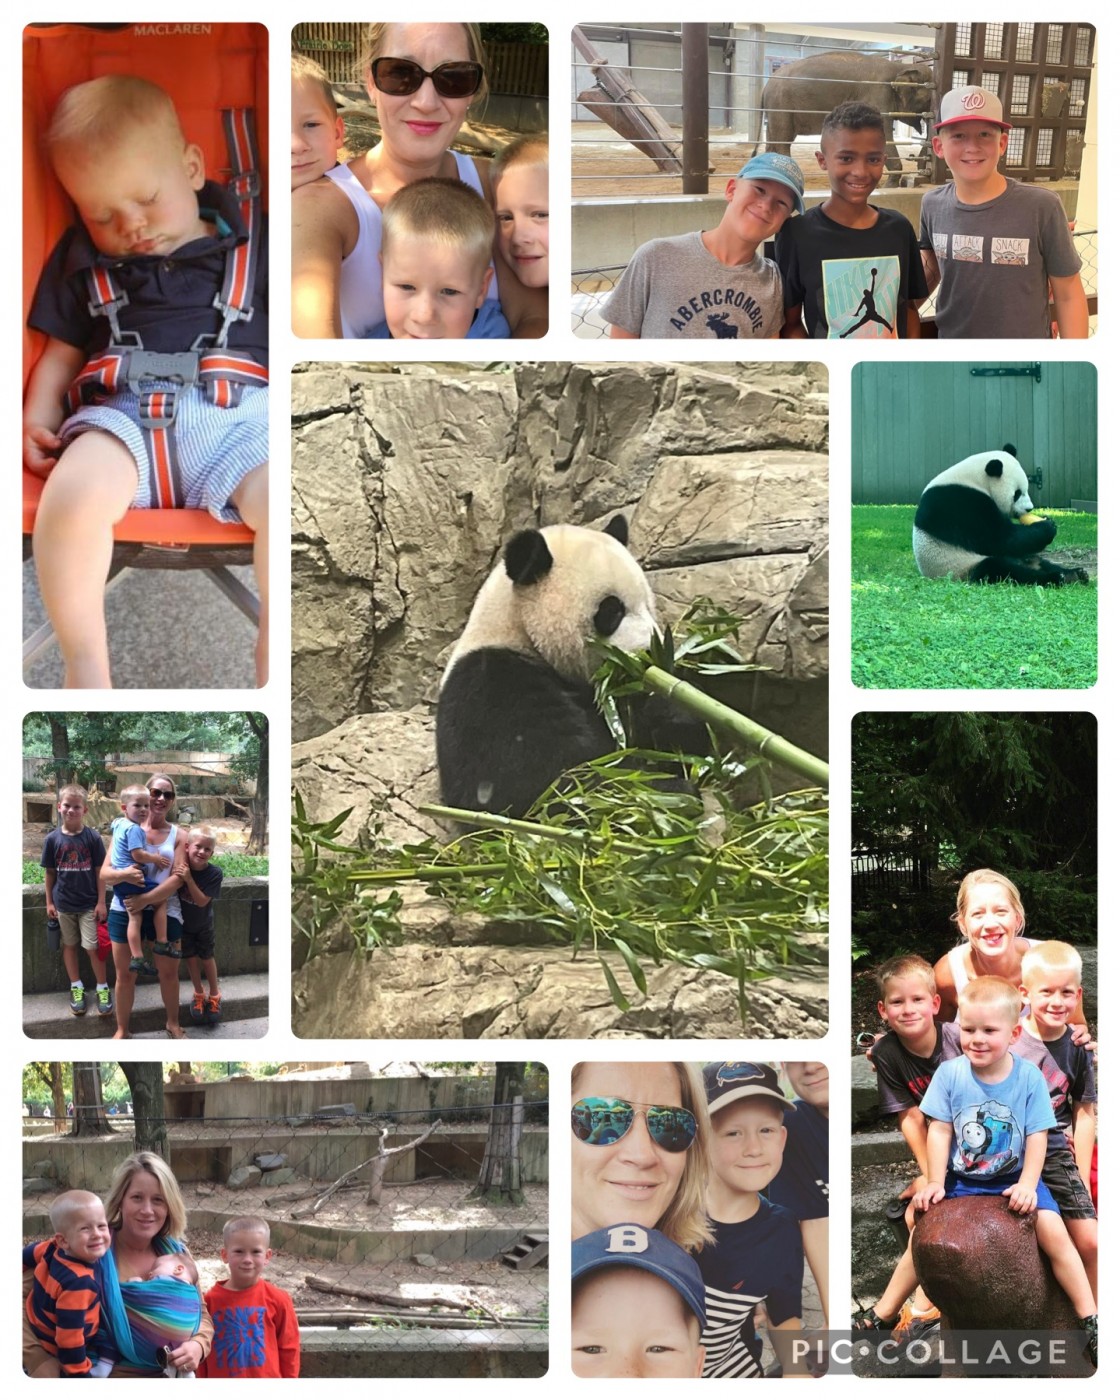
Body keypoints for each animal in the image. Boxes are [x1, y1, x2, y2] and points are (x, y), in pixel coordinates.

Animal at [434, 515, 705, 817]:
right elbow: (549, 783)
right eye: (613, 611)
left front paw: (673, 707)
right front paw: (672, 793)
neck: (519, 631)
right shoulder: (492, 685)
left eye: (648, 605)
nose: (648, 653)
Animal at [756, 53, 929, 172]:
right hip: (780, 105)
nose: (915, 159)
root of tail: (765, 87)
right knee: (783, 141)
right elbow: (884, 137)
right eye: (929, 101)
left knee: (773, 141)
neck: (898, 67)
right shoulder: (878, 93)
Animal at [912, 442, 1092, 585]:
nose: (1029, 509)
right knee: (1003, 569)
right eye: (1017, 493)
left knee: (1041, 562)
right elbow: (998, 538)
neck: (974, 479)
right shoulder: (959, 503)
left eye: (1027, 489)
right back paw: (1056, 578)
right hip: (962, 566)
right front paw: (1047, 526)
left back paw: (1075, 573)